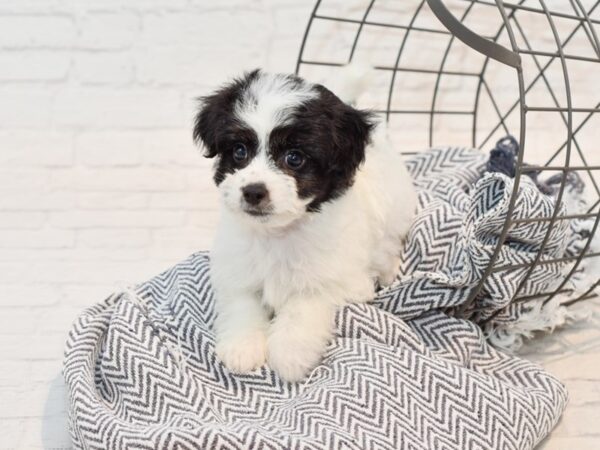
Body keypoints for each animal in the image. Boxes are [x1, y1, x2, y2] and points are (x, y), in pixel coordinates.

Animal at [195, 67, 414, 384]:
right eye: (239, 151)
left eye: (294, 158)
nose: (253, 191)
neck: (277, 234)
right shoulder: (236, 269)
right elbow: (243, 302)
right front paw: (242, 346)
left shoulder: (340, 280)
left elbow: (304, 304)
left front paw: (289, 354)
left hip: (395, 208)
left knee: (389, 242)